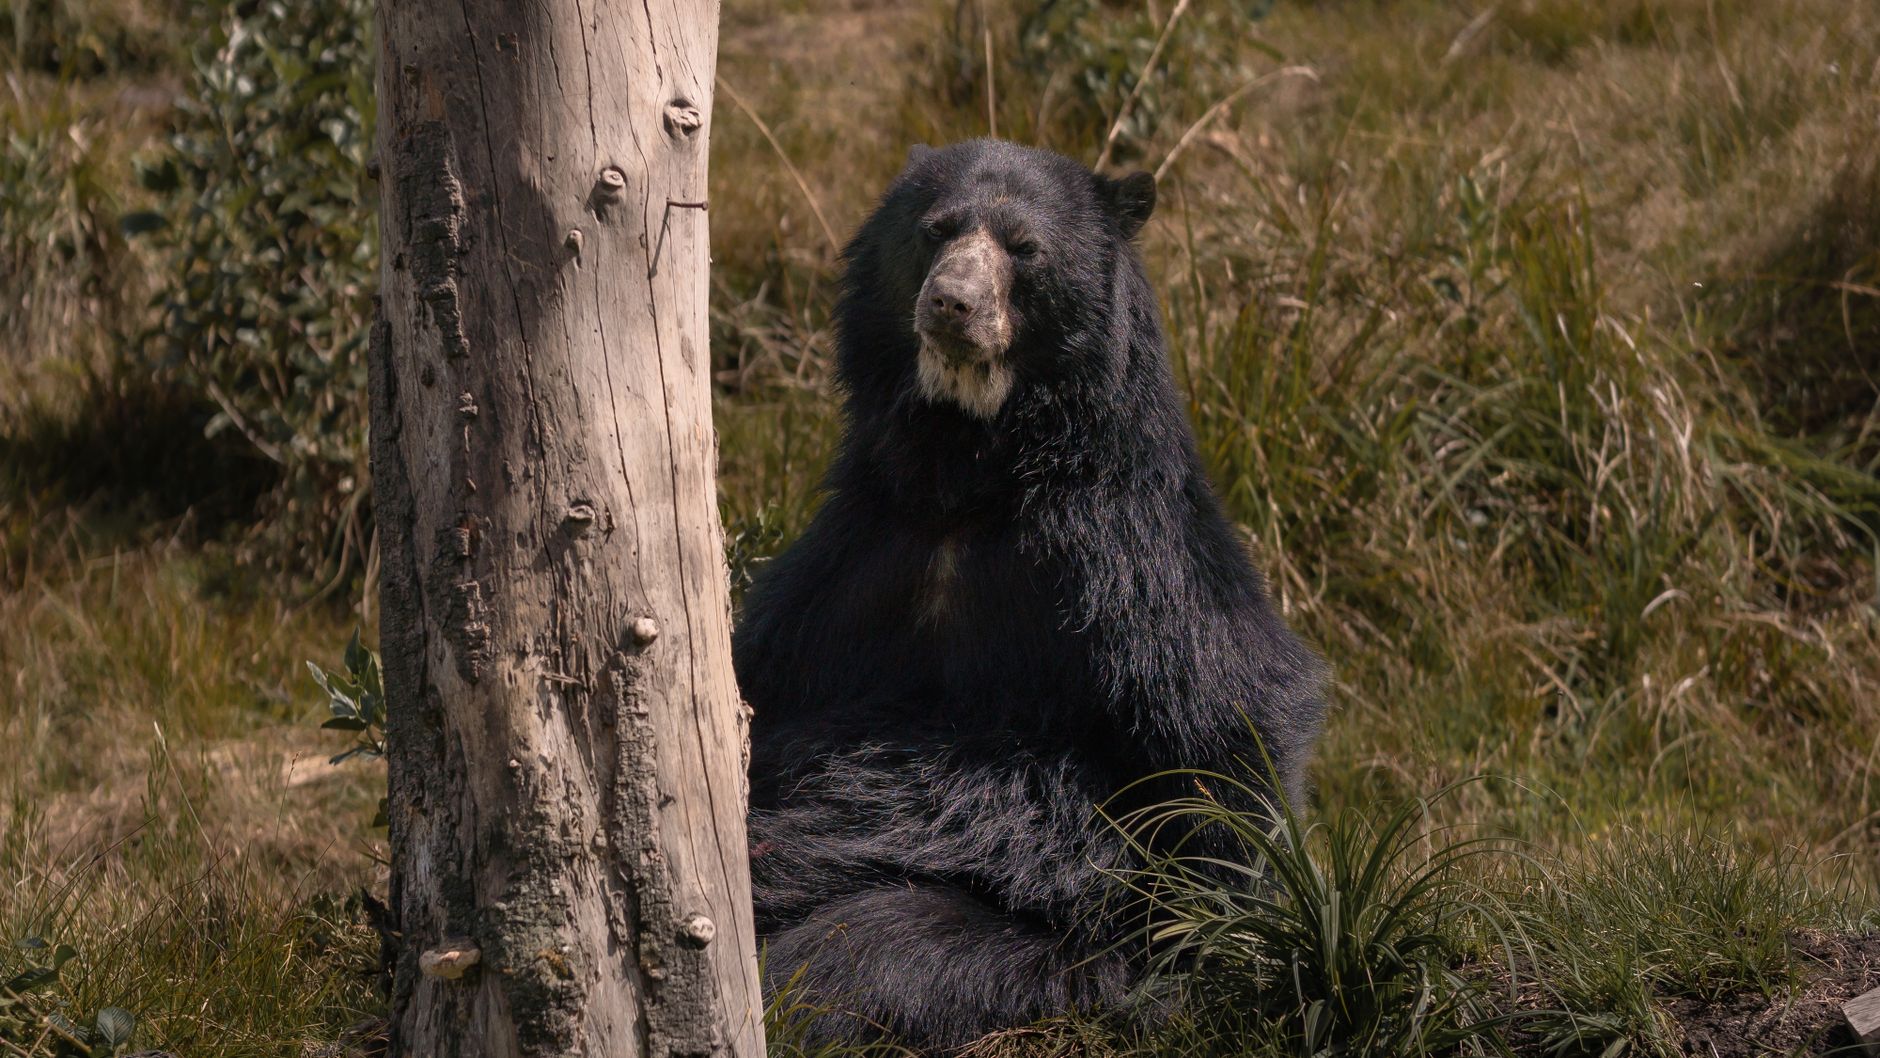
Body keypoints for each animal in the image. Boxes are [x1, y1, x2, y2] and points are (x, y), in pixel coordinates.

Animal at [734, 139, 1326, 1052]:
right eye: (935, 229)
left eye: (1024, 250)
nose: (952, 303)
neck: (967, 470)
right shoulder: (852, 557)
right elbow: (762, 678)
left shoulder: (1126, 565)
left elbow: (1223, 723)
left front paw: (1218, 963)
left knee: (848, 959)